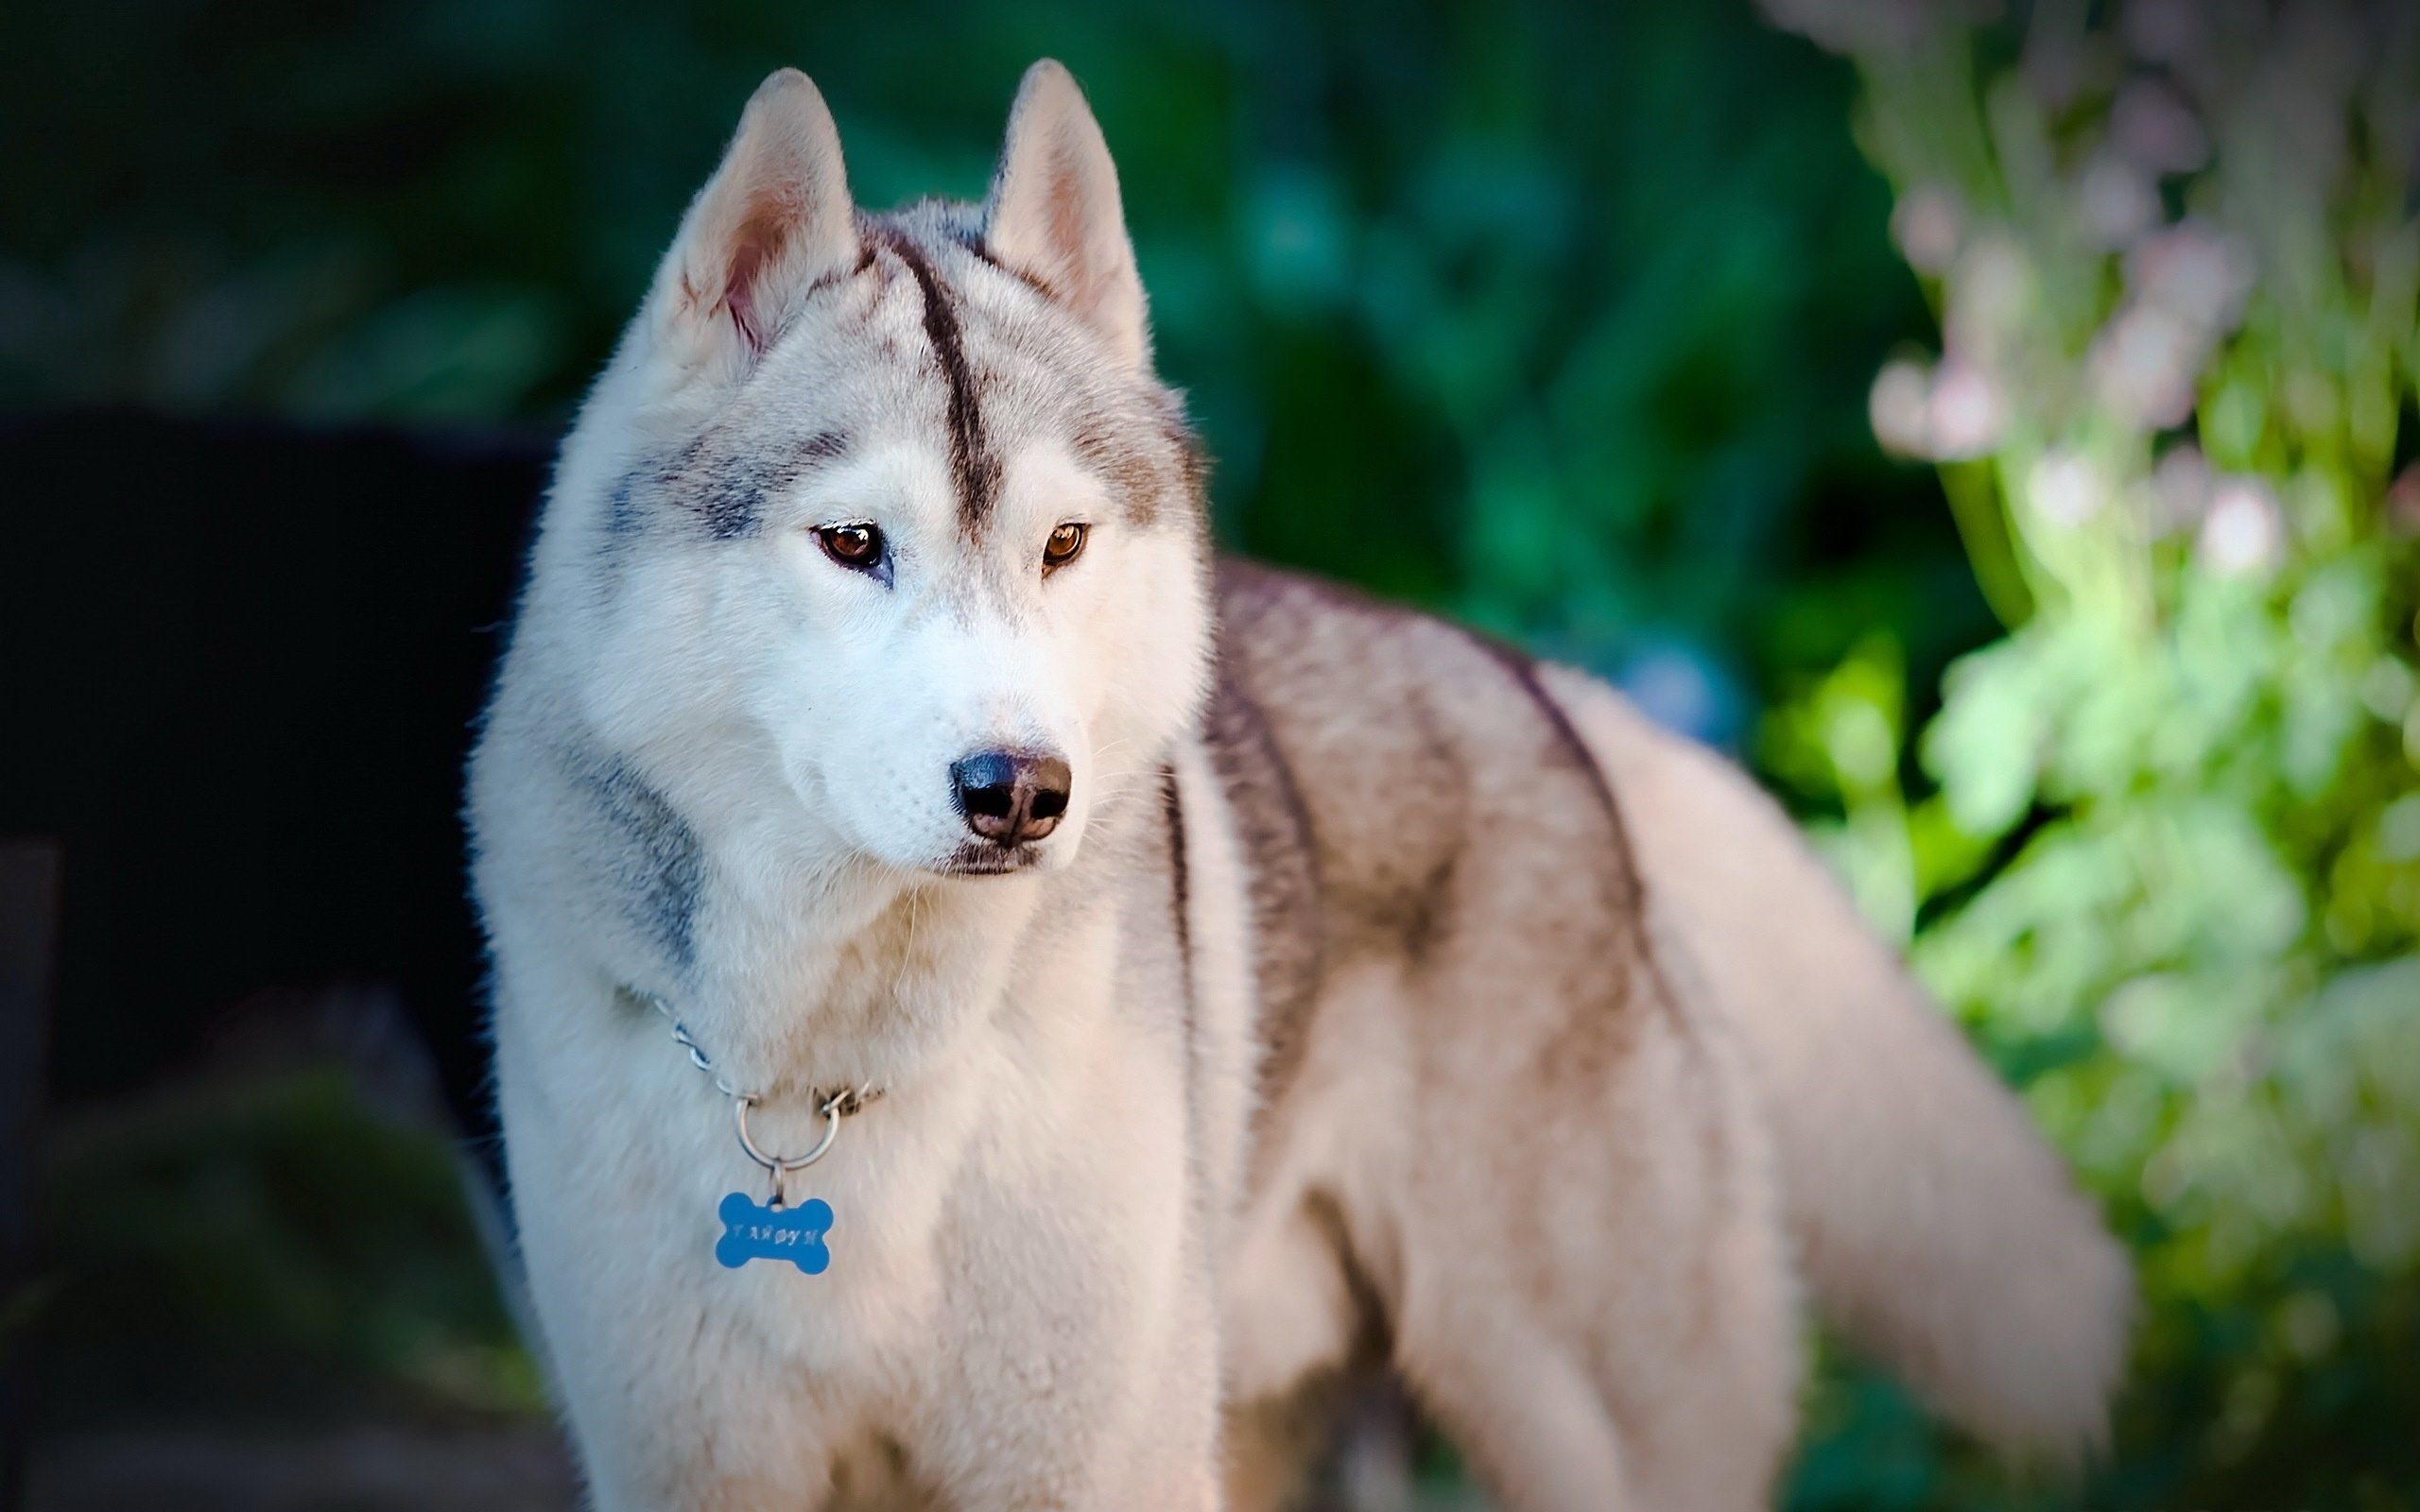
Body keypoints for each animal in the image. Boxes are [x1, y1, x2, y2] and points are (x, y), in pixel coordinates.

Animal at [467, 61, 2119, 1509]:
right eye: (853, 543)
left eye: (1063, 547)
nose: (1022, 792)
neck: (830, 1084)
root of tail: (1543, 688)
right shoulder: (690, 1463)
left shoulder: (1095, 1466)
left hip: (1574, 1416)